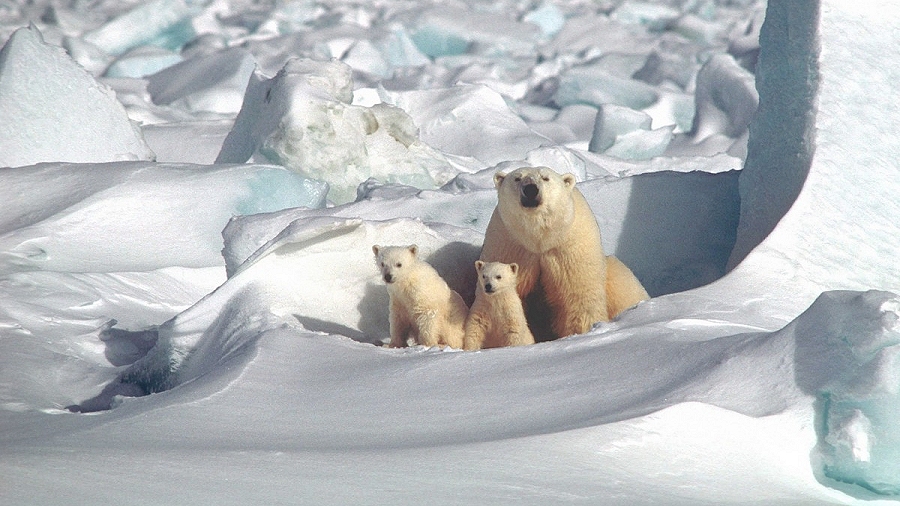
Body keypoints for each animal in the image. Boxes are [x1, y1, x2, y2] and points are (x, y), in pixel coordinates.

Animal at [482, 166, 652, 340]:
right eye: (517, 178)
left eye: (545, 178)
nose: (530, 189)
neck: (539, 239)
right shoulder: (512, 246)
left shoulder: (568, 248)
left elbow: (577, 296)